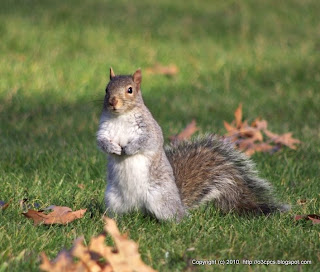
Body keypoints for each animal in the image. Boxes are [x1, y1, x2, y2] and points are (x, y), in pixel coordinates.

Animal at [96, 68, 288, 221]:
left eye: (130, 90)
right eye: (106, 89)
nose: (113, 102)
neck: (121, 117)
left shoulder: (150, 129)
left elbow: (147, 141)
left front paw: (129, 148)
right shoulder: (104, 129)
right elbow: (101, 141)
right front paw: (113, 148)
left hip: (161, 199)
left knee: (176, 216)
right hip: (113, 200)